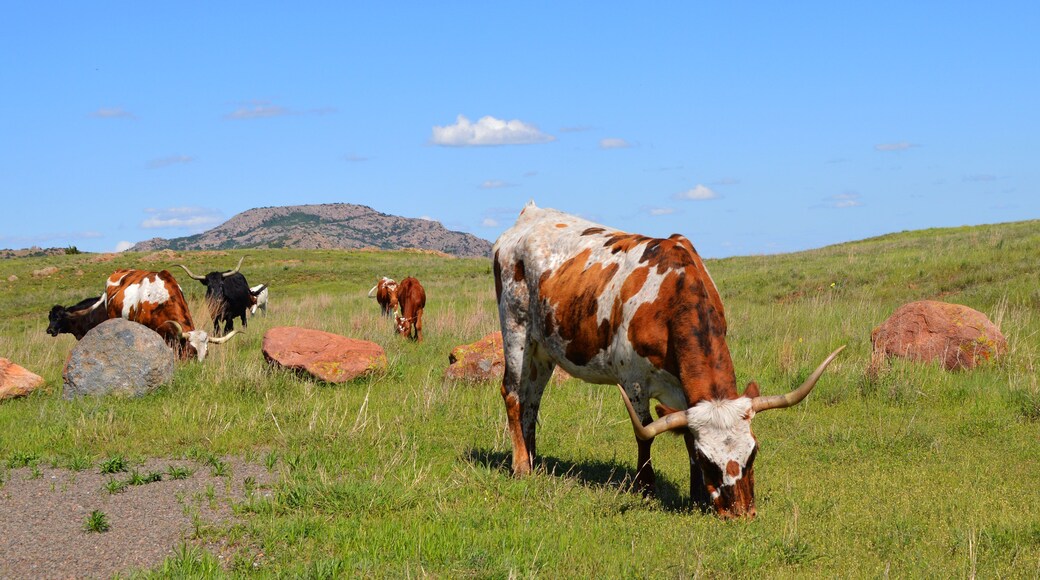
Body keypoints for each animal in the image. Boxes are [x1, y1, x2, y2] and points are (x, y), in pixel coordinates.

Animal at [492, 201, 843, 518]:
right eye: (708, 460)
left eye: (753, 452)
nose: (741, 514)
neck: (673, 295)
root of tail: (530, 214)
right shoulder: (632, 381)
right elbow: (645, 431)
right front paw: (646, 487)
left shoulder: (684, 391)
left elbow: (686, 432)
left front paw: (697, 495)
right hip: (515, 331)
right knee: (512, 393)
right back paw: (521, 466)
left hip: (543, 350)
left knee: (532, 400)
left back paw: (534, 459)